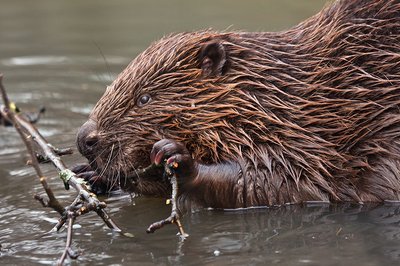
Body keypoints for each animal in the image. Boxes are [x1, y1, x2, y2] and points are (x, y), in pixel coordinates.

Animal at [76, 0, 400, 208]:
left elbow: (286, 183)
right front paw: (89, 174)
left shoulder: (312, 142)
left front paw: (178, 159)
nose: (84, 139)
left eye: (144, 98)